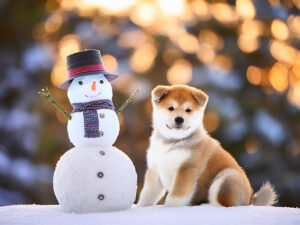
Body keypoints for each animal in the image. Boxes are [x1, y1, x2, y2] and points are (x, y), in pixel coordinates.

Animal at [137, 85, 278, 207]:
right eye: (171, 108)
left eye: (188, 110)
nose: (179, 119)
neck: (172, 142)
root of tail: (250, 199)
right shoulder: (155, 169)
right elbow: (148, 194)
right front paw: (140, 207)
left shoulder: (186, 169)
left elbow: (176, 196)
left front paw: (169, 209)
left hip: (226, 179)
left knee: (227, 205)